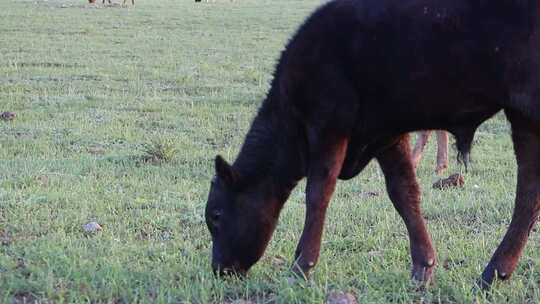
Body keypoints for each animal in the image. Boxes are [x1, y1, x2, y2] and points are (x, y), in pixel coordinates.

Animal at [205, 0, 540, 288]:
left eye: (216, 217)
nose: (220, 269)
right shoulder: (386, 134)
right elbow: (403, 192)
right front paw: (422, 266)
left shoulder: (329, 123)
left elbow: (317, 193)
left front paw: (302, 265)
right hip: (525, 118)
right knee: (528, 193)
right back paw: (495, 273)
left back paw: (493, 272)